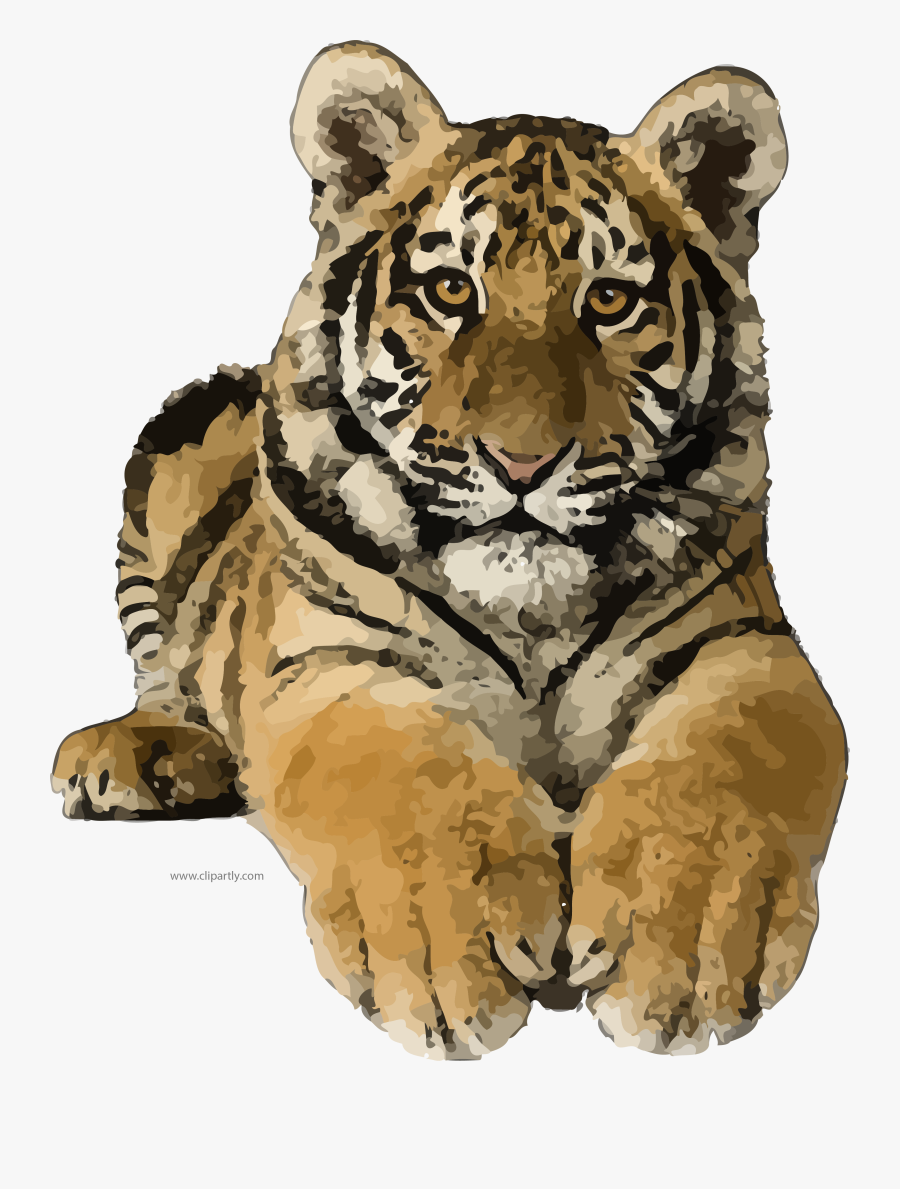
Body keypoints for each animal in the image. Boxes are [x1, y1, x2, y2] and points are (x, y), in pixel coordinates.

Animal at [52, 42, 847, 1059]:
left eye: (610, 301)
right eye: (450, 291)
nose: (522, 463)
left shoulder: (744, 644)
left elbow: (720, 773)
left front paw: (685, 949)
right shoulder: (328, 660)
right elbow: (405, 780)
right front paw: (446, 949)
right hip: (176, 436)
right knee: (164, 669)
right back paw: (140, 754)